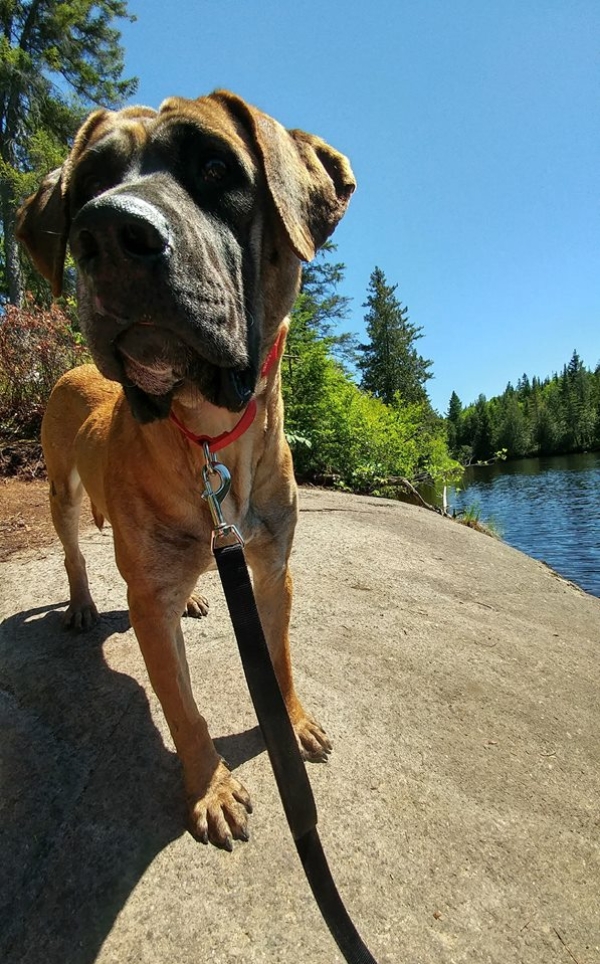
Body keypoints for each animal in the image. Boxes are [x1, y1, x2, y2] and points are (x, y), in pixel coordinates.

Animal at [16, 90, 355, 849]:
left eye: (215, 167)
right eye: (88, 182)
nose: (108, 232)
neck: (207, 434)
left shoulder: (272, 570)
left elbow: (279, 659)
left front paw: (292, 723)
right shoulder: (149, 604)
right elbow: (183, 708)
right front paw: (211, 788)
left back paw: (197, 596)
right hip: (61, 492)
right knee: (76, 556)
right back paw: (83, 604)